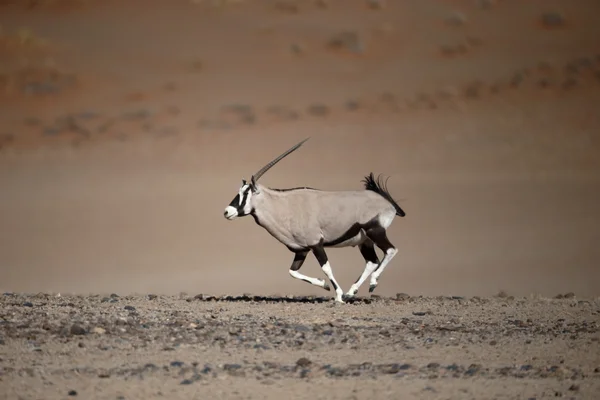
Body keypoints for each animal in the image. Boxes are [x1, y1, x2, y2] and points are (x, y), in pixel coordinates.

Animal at [225, 138, 408, 304]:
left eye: (246, 193)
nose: (227, 211)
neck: (284, 206)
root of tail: (387, 202)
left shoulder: (316, 244)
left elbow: (326, 268)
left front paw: (338, 296)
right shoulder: (302, 250)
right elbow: (292, 272)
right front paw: (324, 285)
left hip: (375, 231)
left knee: (391, 250)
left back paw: (371, 284)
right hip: (364, 241)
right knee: (371, 261)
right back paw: (351, 292)